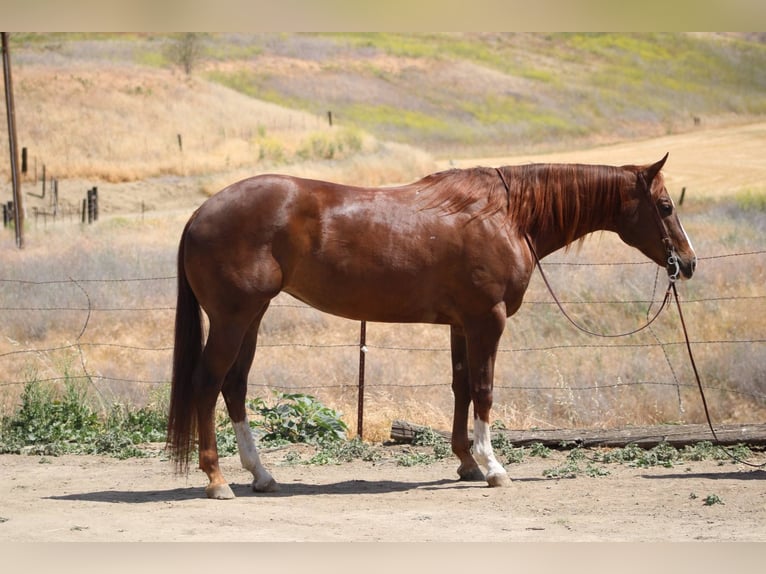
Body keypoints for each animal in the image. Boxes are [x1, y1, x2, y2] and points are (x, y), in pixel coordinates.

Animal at [167, 153, 696, 499]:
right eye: (666, 206)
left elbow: (461, 387)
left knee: (235, 385)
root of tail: (199, 214)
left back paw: (261, 475)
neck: (507, 216)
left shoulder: (462, 324)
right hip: (233, 317)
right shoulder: (487, 320)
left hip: (252, 316)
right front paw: (493, 466)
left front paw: (466, 462)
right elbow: (483, 389)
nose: (688, 263)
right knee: (208, 383)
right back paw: (217, 480)